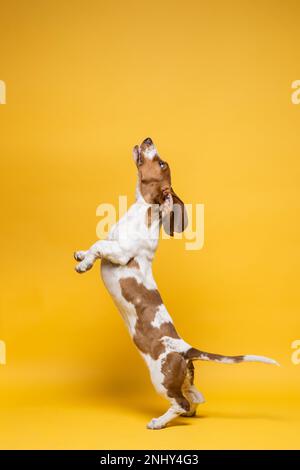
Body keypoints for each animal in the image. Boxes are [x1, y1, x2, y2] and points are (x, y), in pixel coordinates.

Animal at [73, 136, 278, 430]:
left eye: (161, 163)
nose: (148, 139)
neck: (140, 210)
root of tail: (186, 350)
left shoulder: (121, 254)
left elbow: (100, 245)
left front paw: (84, 264)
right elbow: (96, 243)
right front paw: (81, 255)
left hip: (161, 378)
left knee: (180, 402)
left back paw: (159, 422)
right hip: (182, 380)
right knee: (195, 398)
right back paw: (187, 413)